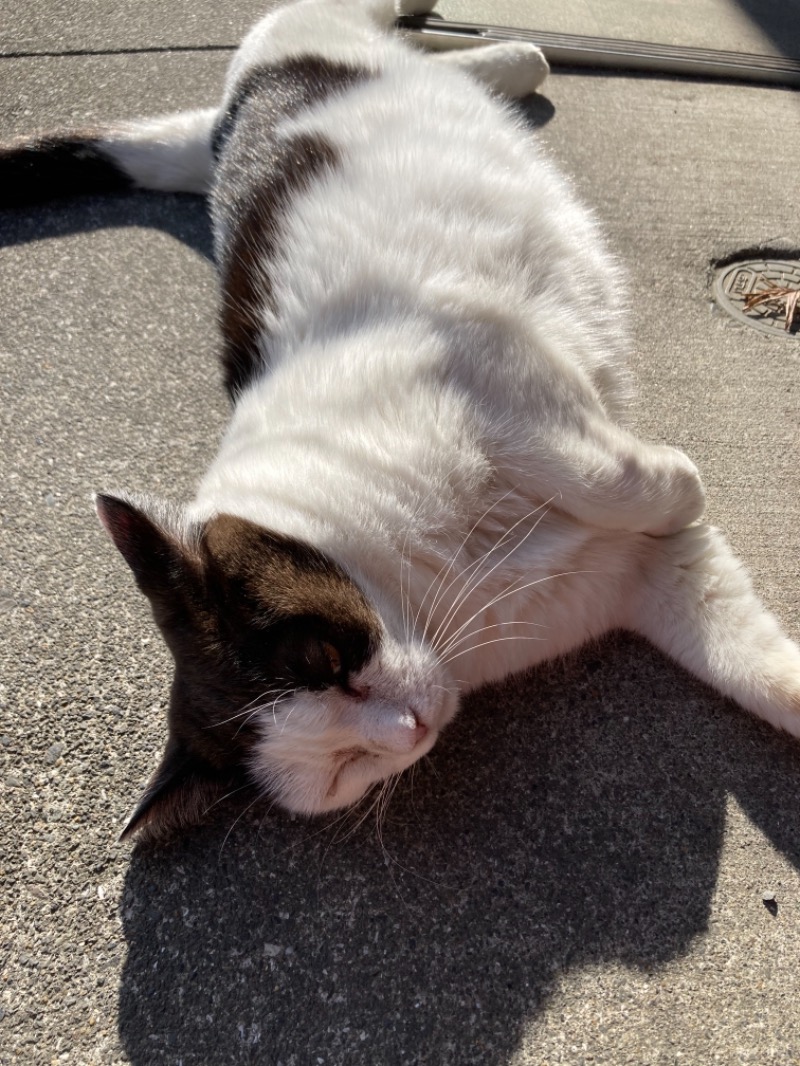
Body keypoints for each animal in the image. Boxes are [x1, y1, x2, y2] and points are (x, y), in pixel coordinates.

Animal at [6, 0, 800, 840]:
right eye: (344, 765)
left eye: (323, 660)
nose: (410, 727)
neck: (433, 591)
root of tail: (229, 120)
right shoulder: (640, 571)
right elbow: (754, 663)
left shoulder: (481, 351)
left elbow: (610, 475)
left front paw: (681, 482)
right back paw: (509, 61)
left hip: (314, 31)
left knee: (380, 27)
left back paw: (489, 48)